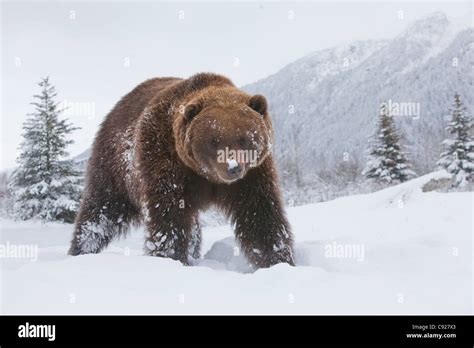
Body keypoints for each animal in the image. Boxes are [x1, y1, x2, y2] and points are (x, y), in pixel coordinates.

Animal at [68, 72, 294, 270]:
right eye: (214, 140)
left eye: (245, 138)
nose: (233, 167)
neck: (206, 175)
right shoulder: (165, 159)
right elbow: (169, 214)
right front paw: (169, 256)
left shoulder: (252, 175)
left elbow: (260, 214)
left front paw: (278, 260)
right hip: (115, 169)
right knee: (100, 212)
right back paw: (81, 250)